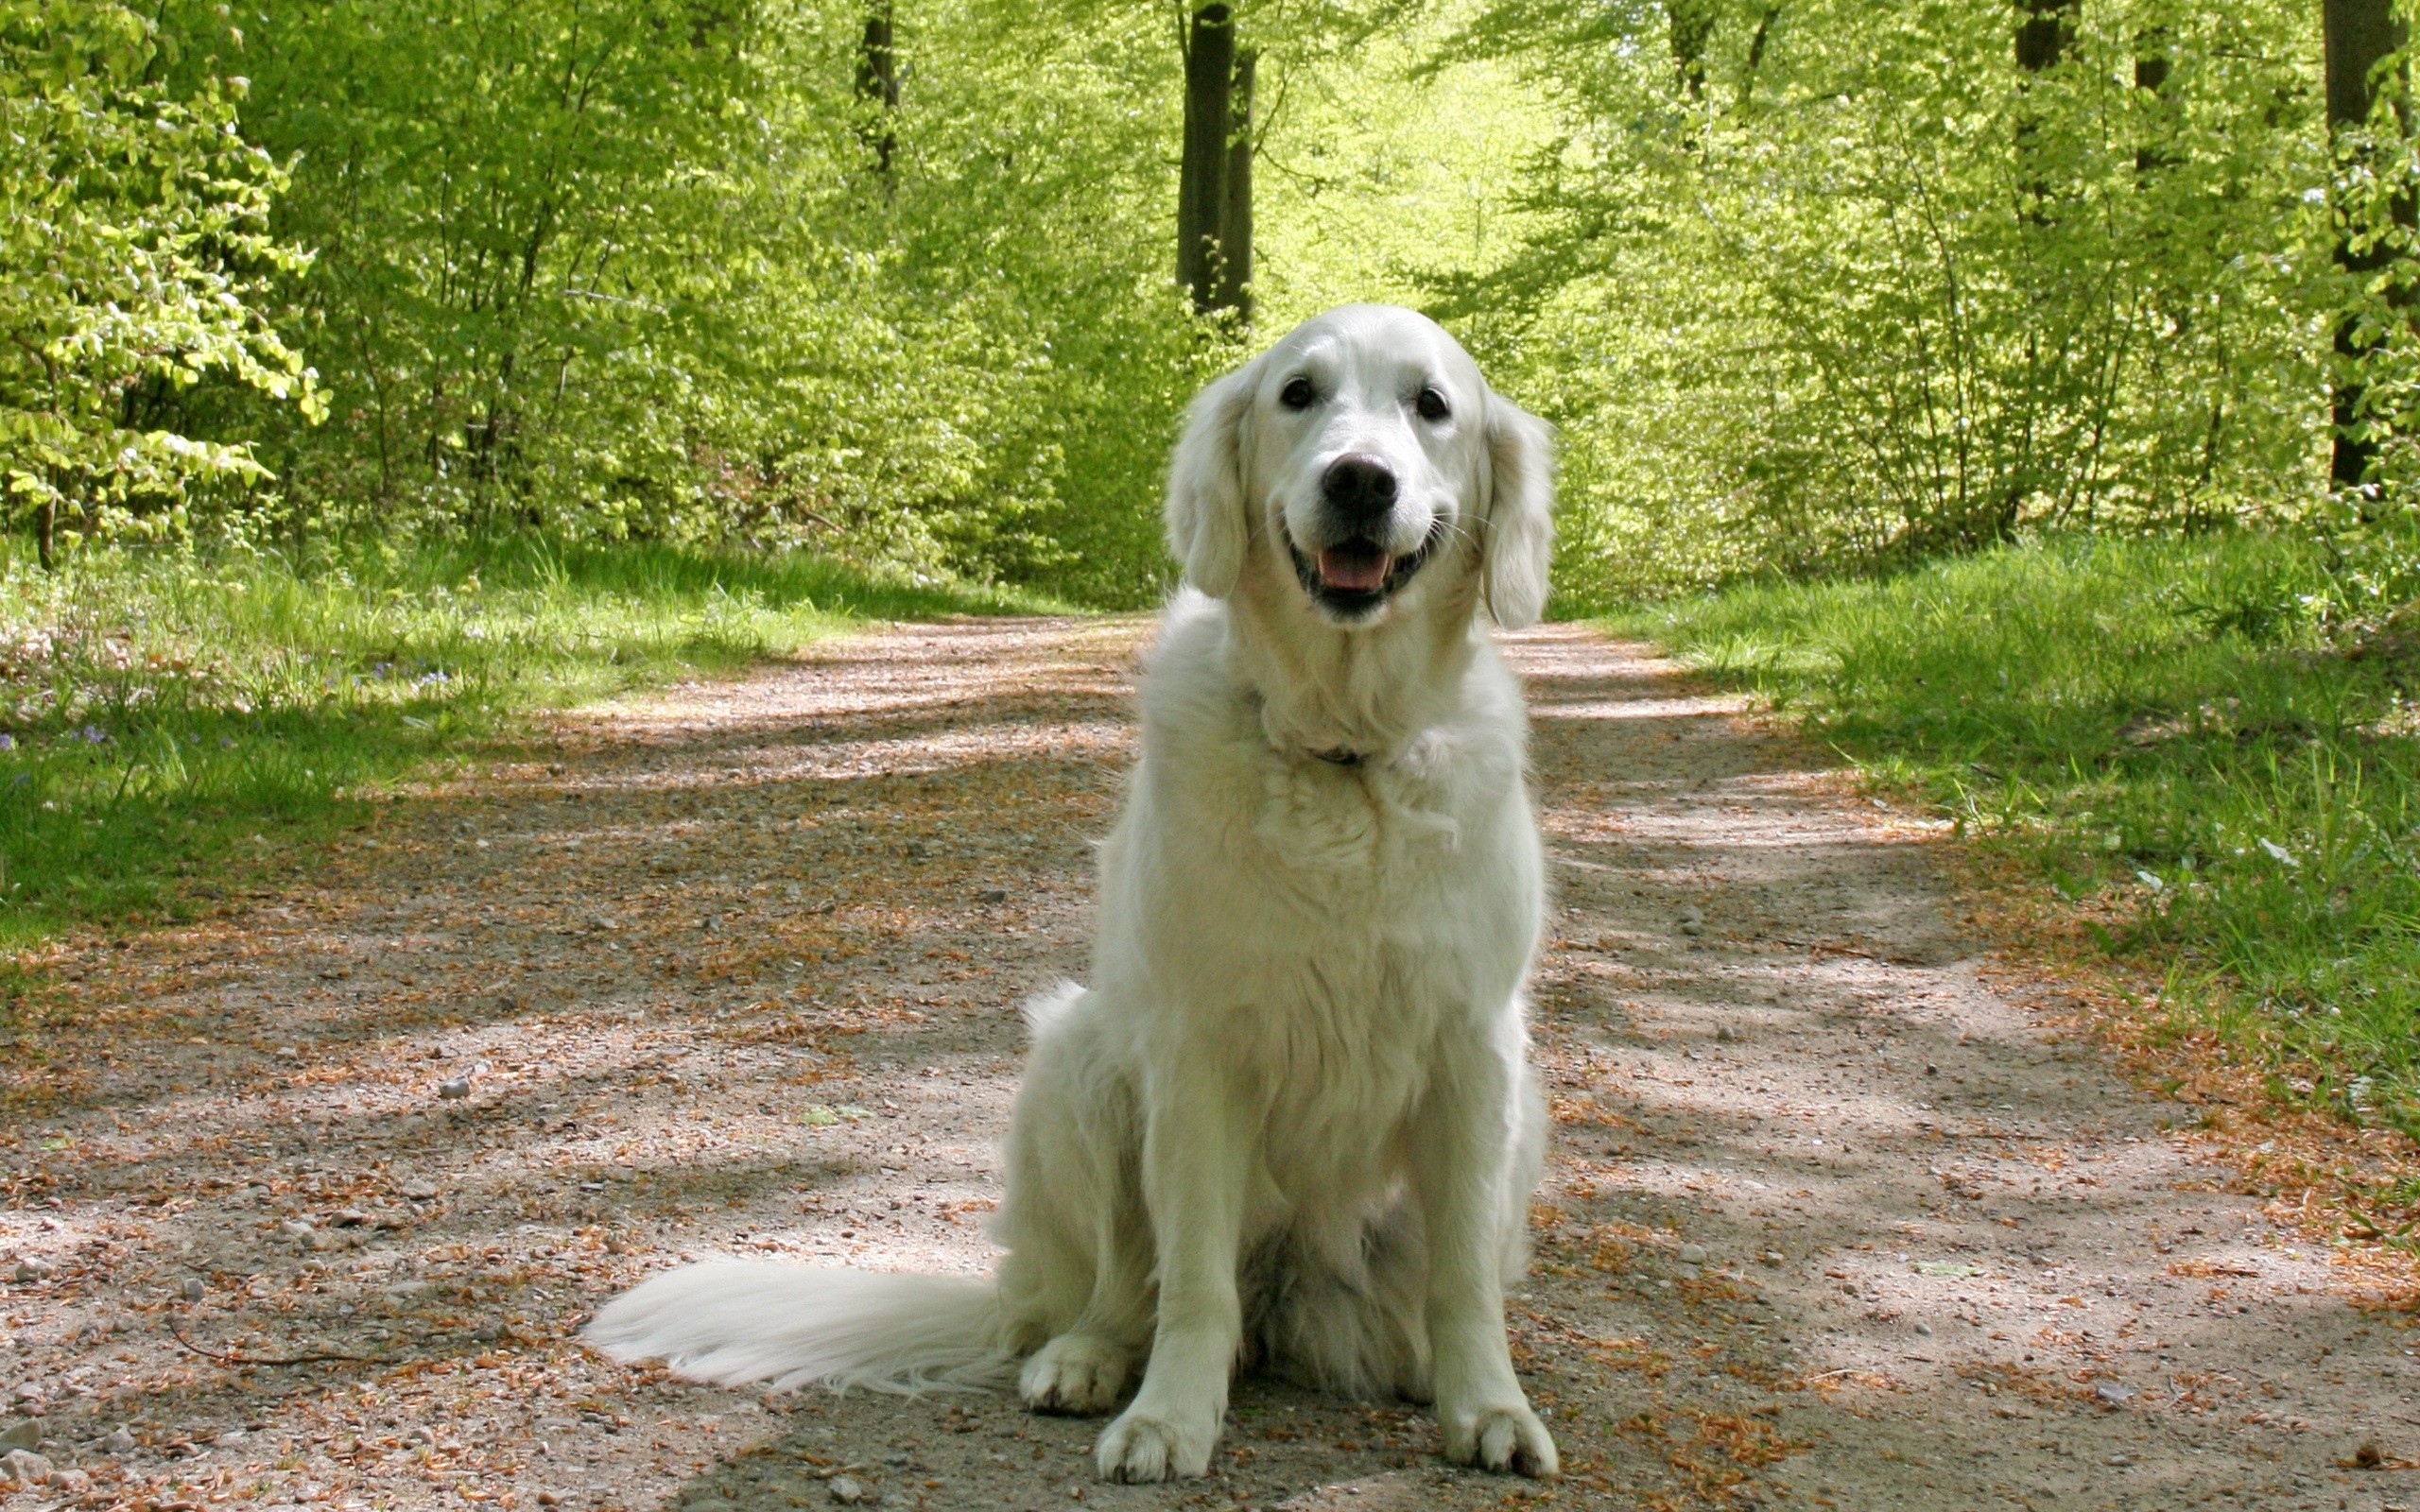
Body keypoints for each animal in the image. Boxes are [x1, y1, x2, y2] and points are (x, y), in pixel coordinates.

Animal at [595, 301, 1558, 1480]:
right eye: (1298, 394)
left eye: (1431, 405)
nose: (1361, 481)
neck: (1340, 752)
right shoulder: (1196, 1050)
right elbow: (1190, 1279)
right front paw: (1169, 1417)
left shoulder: (1474, 1047)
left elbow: (1464, 1278)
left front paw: (1489, 1405)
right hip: (1077, 1060)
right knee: (1116, 1288)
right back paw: (1087, 1363)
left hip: (1520, 1114)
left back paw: (1414, 1361)